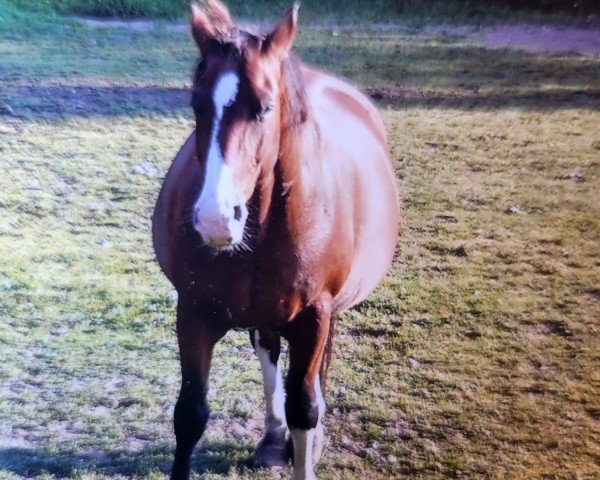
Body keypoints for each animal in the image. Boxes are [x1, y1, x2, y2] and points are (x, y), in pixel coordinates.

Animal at [152, 1, 400, 478]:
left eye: (265, 108)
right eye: (196, 105)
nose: (215, 219)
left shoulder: (314, 316)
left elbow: (305, 408)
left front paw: (307, 447)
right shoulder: (193, 311)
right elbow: (190, 414)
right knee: (267, 351)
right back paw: (271, 437)